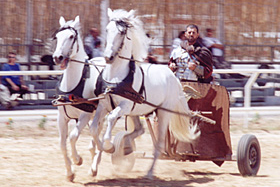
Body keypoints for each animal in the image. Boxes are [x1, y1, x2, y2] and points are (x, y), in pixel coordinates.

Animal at [52, 16, 105, 181]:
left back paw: (95, 164)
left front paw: (77, 160)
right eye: (57, 37)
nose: (57, 57)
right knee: (95, 135)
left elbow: (73, 136)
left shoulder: (85, 115)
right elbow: (62, 144)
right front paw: (70, 173)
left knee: (101, 135)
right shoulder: (62, 117)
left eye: (71, 36)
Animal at [88, 8, 200, 178]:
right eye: (106, 29)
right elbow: (95, 129)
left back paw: (149, 172)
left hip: (163, 112)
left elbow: (111, 119)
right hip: (137, 111)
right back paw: (126, 145)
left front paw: (108, 145)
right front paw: (95, 165)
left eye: (122, 32)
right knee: (138, 130)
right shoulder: (103, 105)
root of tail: (172, 77)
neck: (116, 76)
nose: (107, 57)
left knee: (159, 143)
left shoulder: (124, 106)